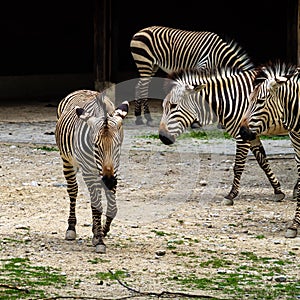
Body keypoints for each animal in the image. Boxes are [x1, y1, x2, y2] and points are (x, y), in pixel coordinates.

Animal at [55, 89, 129, 253]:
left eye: (117, 146)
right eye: (95, 145)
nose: (108, 180)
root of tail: (82, 90)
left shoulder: (115, 169)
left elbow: (111, 207)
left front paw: (102, 231)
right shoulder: (88, 171)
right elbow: (96, 206)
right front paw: (100, 240)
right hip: (67, 160)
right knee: (73, 190)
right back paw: (71, 228)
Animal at [157, 65, 288, 206]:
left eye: (173, 106)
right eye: (163, 106)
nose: (162, 137)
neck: (231, 100)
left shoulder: (242, 136)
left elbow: (238, 166)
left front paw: (231, 195)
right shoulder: (251, 135)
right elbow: (263, 162)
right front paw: (278, 191)